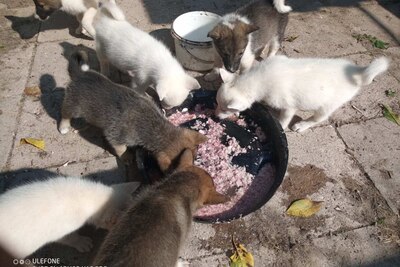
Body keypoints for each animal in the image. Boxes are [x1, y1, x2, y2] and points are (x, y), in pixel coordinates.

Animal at [61, 50, 209, 172]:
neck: (154, 126)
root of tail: (80, 74)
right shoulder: (115, 136)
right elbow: (122, 149)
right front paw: (126, 157)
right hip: (74, 106)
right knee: (65, 112)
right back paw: (63, 126)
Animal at [217, 55, 390, 133]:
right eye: (217, 104)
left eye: (225, 109)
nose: (215, 115)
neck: (256, 79)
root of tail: (358, 73)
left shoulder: (289, 106)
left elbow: (283, 119)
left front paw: (281, 127)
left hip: (328, 106)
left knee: (318, 118)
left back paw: (302, 125)